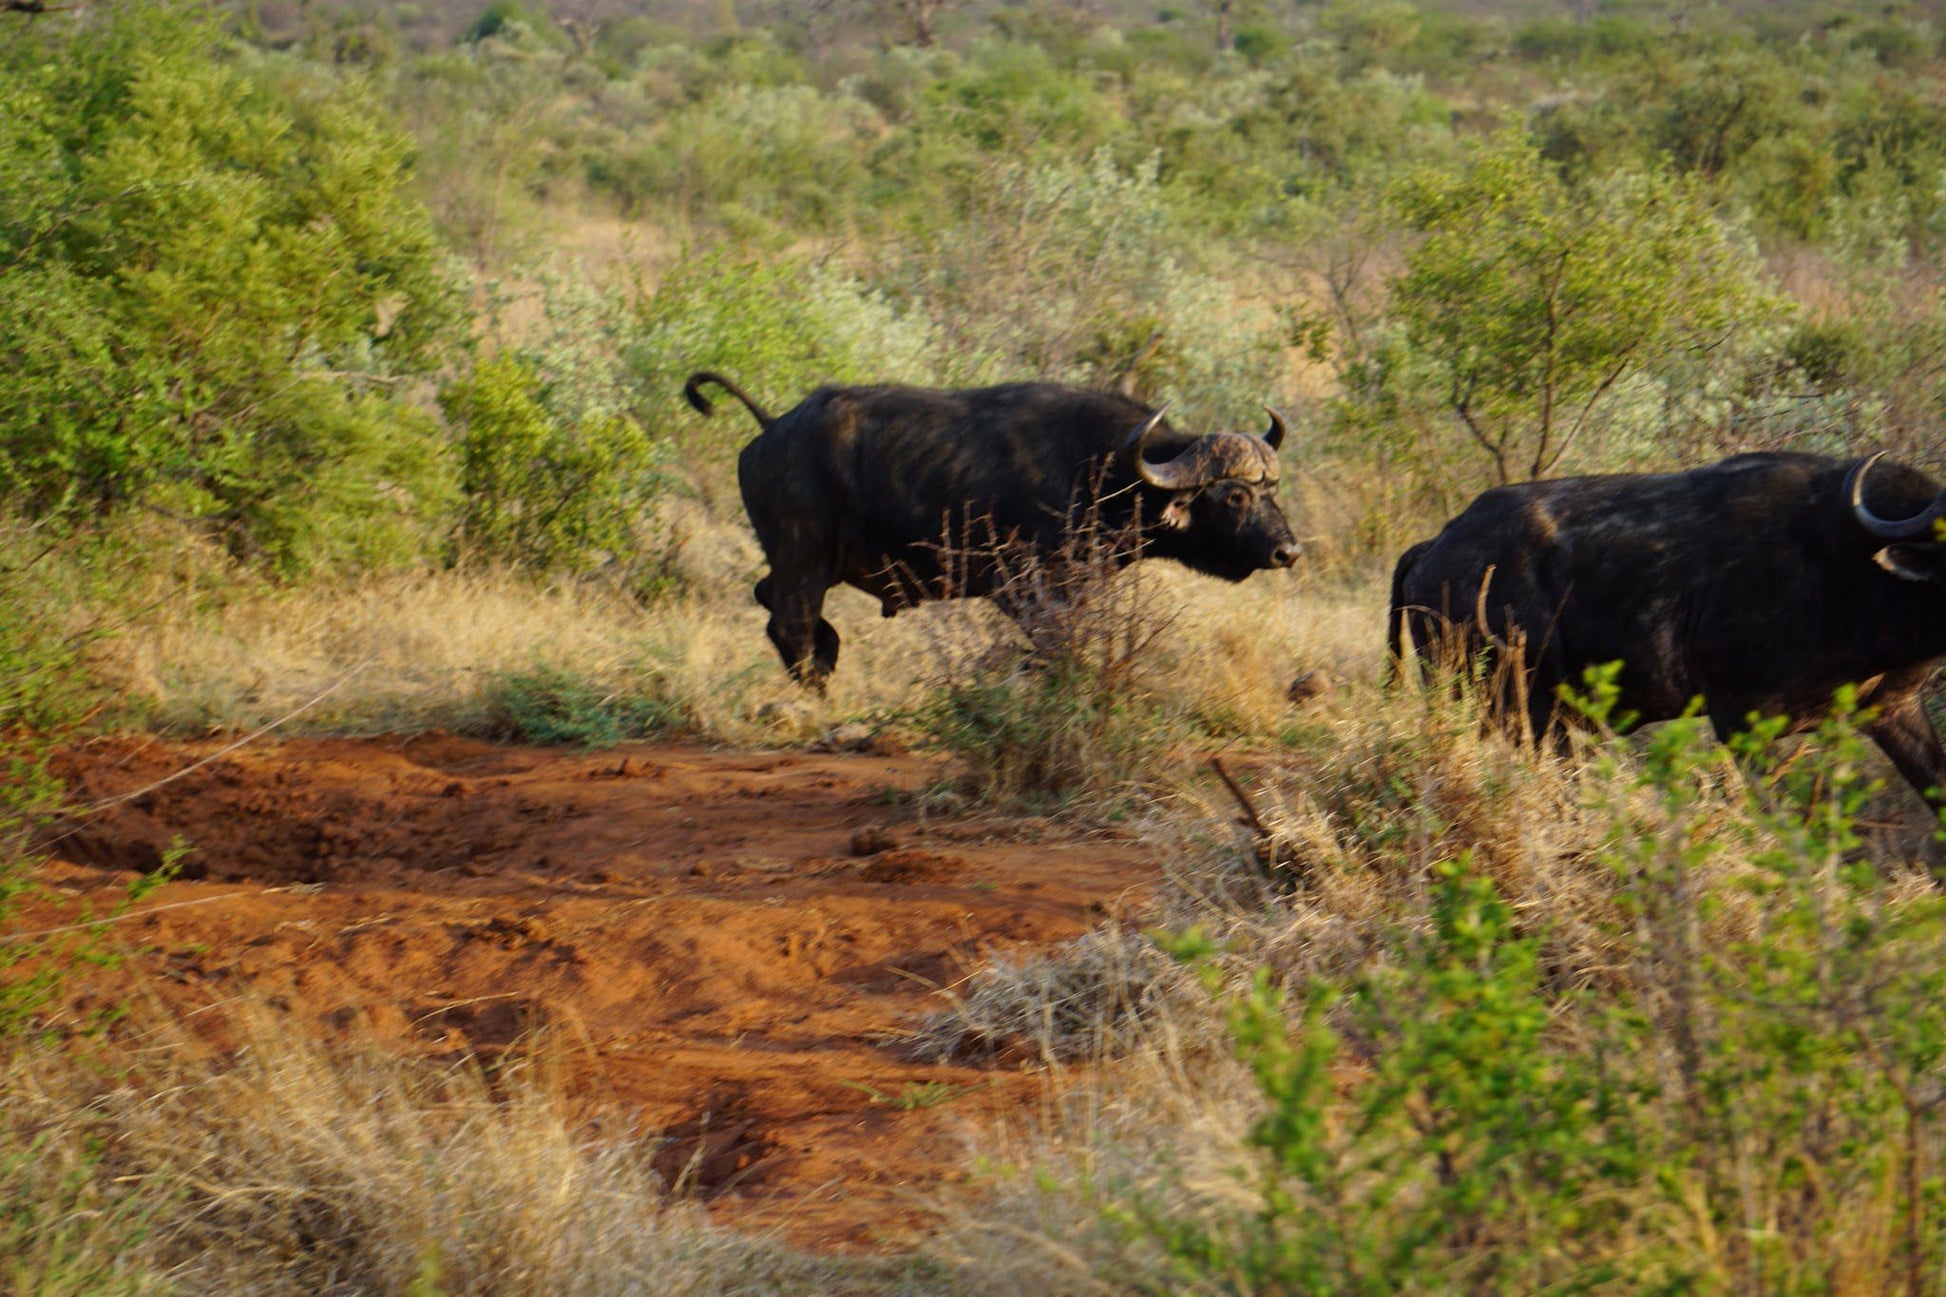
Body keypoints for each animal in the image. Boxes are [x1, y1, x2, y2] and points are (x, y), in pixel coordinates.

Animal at [688, 371, 1307, 685]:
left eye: (1272, 491)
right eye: (1235, 495)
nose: (1289, 551)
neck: (1103, 469)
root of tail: (773, 428)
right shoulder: (1029, 589)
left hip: (804, 563)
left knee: (777, 609)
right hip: (805, 559)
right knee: (792, 626)